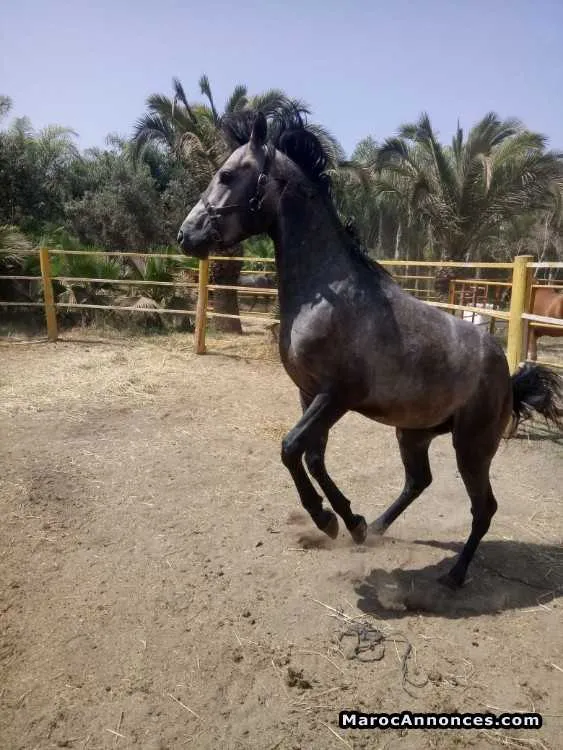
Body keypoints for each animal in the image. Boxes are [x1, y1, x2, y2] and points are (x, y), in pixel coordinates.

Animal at [177, 111, 562, 589]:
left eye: (227, 175)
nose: (185, 235)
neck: (329, 294)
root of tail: (505, 372)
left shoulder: (336, 396)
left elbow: (290, 447)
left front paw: (327, 519)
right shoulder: (309, 394)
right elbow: (313, 457)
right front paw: (349, 522)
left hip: (472, 446)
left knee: (483, 507)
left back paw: (453, 576)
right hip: (413, 433)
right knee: (419, 481)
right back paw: (376, 528)